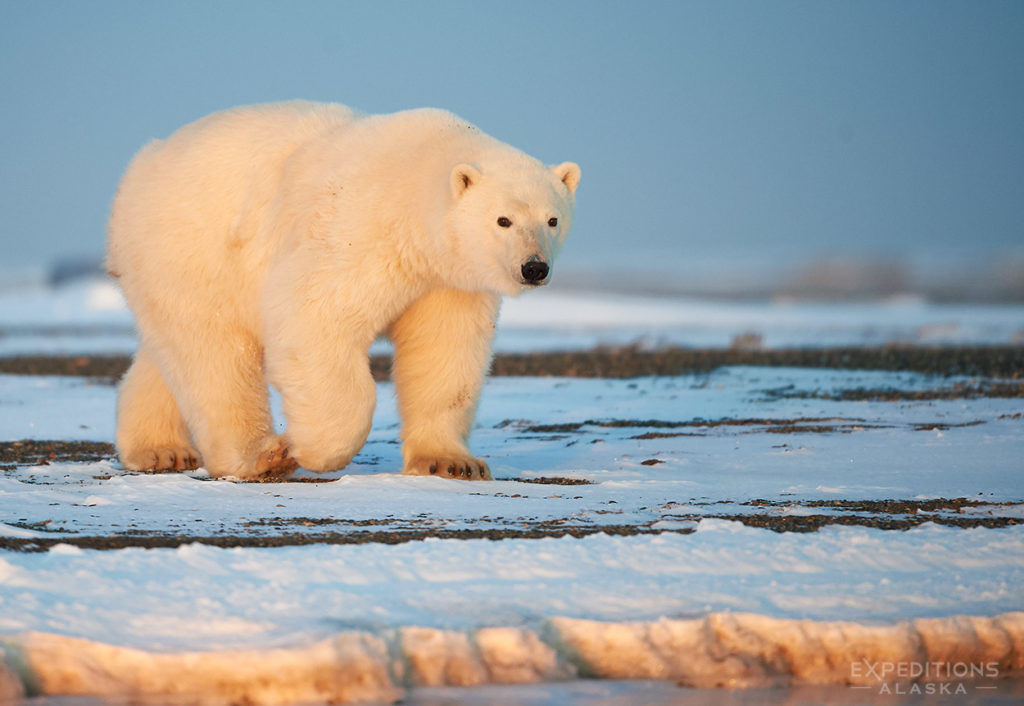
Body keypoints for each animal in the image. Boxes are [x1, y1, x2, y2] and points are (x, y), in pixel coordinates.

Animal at [108, 100, 581, 479]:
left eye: (552, 219)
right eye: (503, 220)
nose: (534, 267)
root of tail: (145, 161)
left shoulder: (446, 281)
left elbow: (444, 352)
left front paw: (452, 462)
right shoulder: (360, 229)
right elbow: (314, 317)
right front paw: (314, 450)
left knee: (172, 352)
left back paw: (160, 450)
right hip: (194, 247)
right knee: (215, 354)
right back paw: (262, 456)